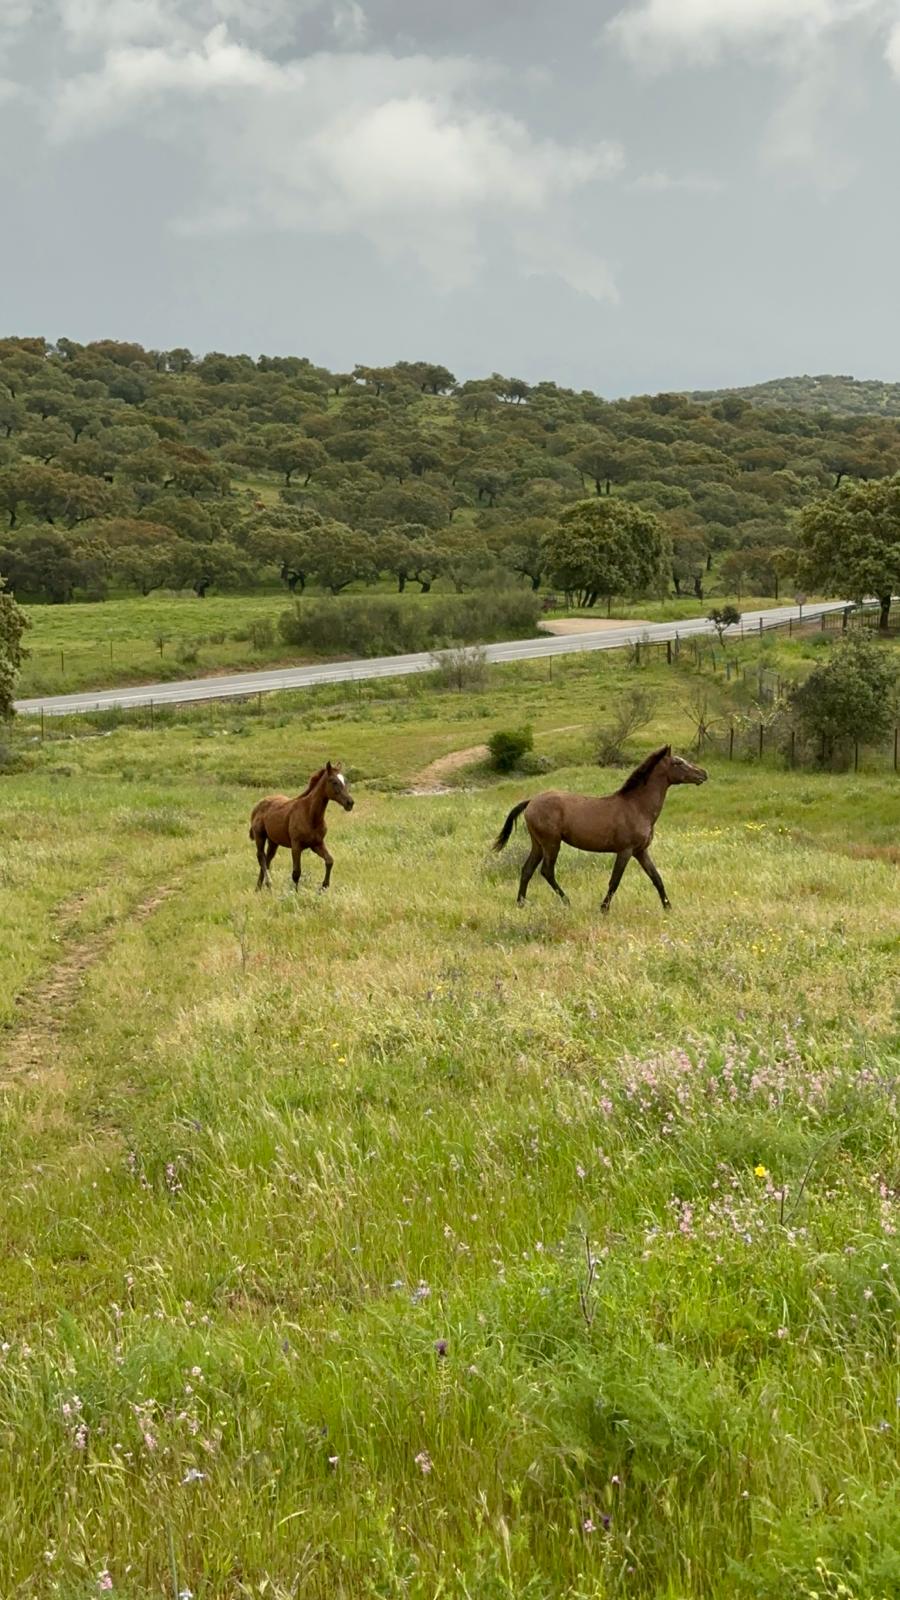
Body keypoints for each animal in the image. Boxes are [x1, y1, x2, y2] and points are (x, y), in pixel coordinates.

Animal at [249, 762, 354, 892]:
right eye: (334, 782)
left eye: (345, 780)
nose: (350, 803)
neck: (310, 815)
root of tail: (258, 805)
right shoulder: (296, 846)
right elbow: (296, 873)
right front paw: (295, 893)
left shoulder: (317, 844)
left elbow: (330, 861)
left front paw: (324, 886)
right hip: (260, 836)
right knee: (261, 857)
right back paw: (268, 883)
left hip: (274, 841)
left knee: (267, 859)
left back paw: (259, 888)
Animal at [493, 745, 708, 914]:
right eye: (678, 763)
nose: (703, 774)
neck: (637, 806)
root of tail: (531, 802)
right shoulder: (626, 851)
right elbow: (615, 881)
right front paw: (603, 909)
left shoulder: (640, 851)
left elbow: (656, 878)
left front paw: (668, 907)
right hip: (551, 843)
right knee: (546, 871)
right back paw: (567, 902)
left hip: (538, 844)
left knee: (527, 870)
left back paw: (521, 904)